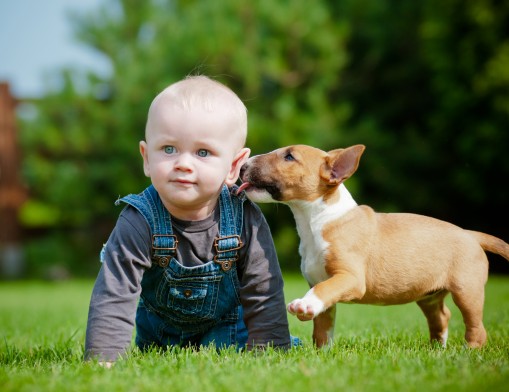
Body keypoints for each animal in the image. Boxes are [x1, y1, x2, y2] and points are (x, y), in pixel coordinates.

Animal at [238, 145, 508, 348]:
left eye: (289, 156)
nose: (243, 166)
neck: (318, 220)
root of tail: (471, 234)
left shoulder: (350, 278)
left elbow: (323, 291)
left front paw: (304, 306)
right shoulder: (320, 282)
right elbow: (323, 326)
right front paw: (322, 353)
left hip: (467, 289)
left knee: (475, 325)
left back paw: (468, 351)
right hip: (429, 295)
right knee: (441, 316)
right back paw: (437, 349)